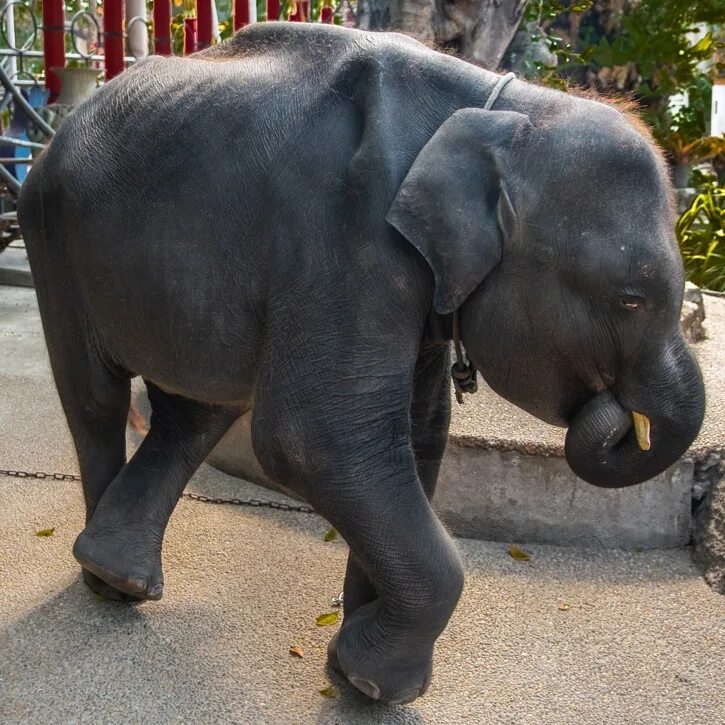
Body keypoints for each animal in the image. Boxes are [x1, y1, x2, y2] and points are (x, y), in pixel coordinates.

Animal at [19, 21, 704, 700]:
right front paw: (376, 684)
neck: (499, 110)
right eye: (632, 299)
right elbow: (316, 438)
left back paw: (119, 573)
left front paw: (352, 670)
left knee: (195, 413)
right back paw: (105, 586)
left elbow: (416, 435)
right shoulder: (346, 234)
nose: (619, 414)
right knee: (97, 401)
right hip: (50, 233)